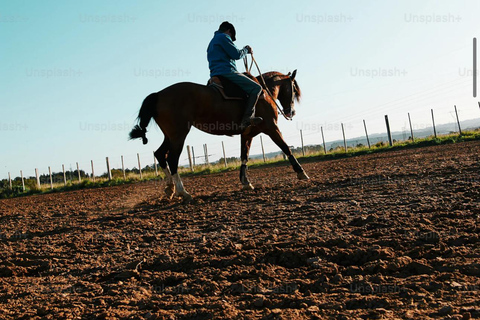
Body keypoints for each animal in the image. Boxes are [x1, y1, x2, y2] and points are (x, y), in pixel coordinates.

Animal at [128, 69, 308, 202]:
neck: (263, 93)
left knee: (160, 154)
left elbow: (244, 155)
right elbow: (286, 148)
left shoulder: (247, 134)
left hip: (170, 136)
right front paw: (301, 172)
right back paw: (183, 192)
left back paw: (170, 188)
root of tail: (158, 94)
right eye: (293, 89)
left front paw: (245, 182)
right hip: (178, 135)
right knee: (172, 159)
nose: (291, 112)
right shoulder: (272, 128)